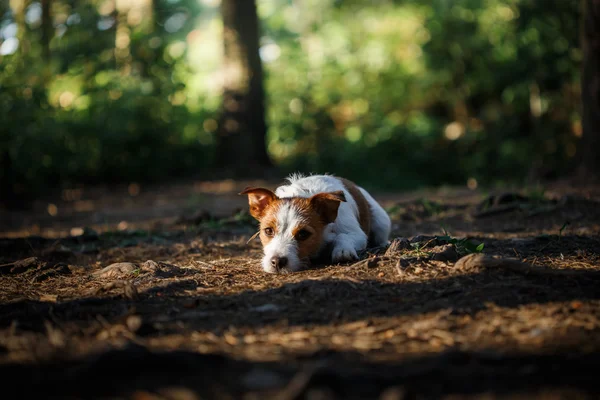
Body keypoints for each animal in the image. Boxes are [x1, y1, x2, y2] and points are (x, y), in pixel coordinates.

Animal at [241, 173, 392, 274]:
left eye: (303, 234)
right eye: (268, 231)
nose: (277, 262)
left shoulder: (356, 233)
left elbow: (343, 236)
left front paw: (342, 250)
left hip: (381, 222)